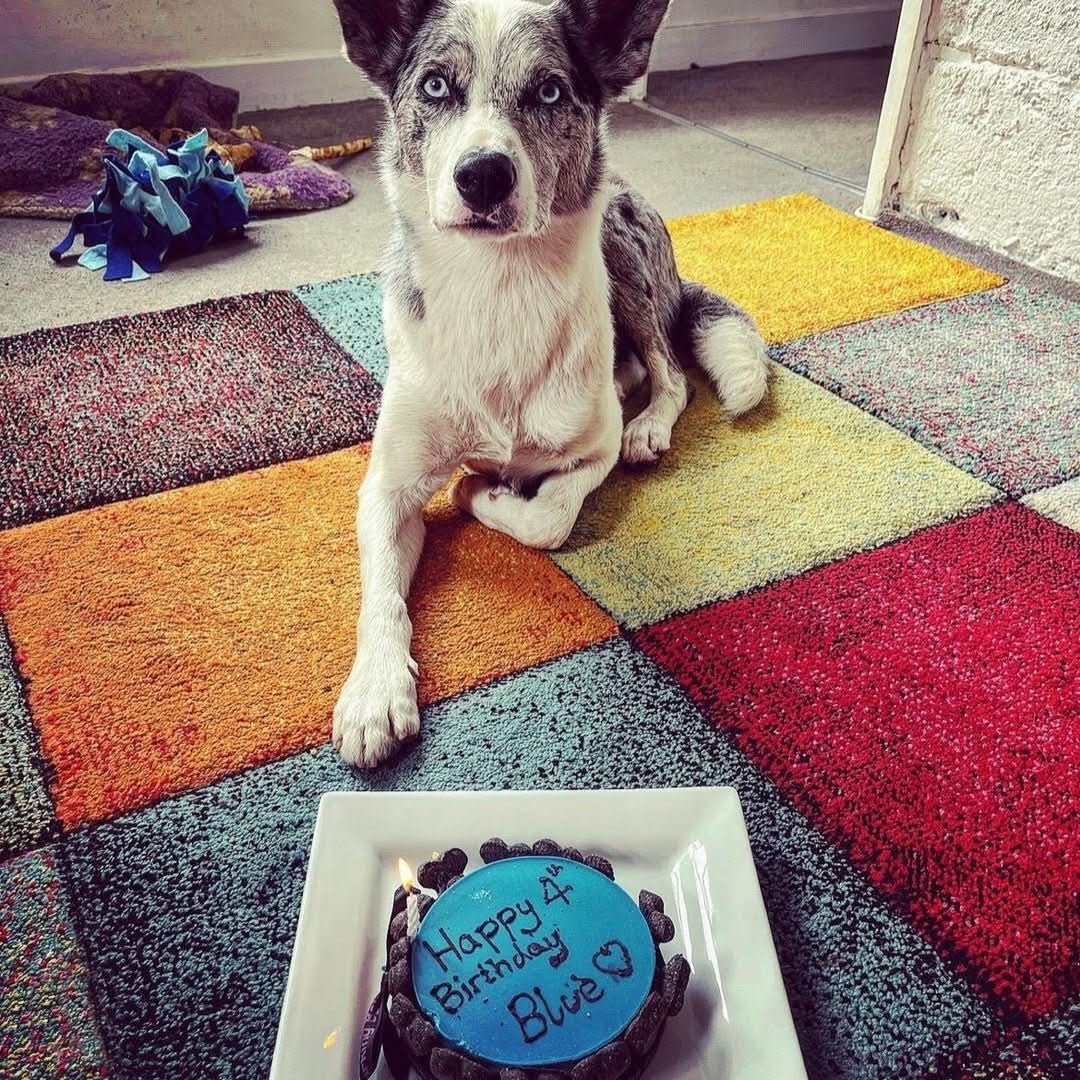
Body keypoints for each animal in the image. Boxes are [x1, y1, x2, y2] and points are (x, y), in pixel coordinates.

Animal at [328, 0, 768, 764]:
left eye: (550, 92)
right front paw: (375, 693)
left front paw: (483, 493)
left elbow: (547, 520)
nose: (483, 175)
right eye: (435, 86)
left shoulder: (590, 451)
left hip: (623, 259)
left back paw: (648, 422)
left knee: (671, 373)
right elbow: (380, 591)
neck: (497, 289)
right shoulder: (387, 487)